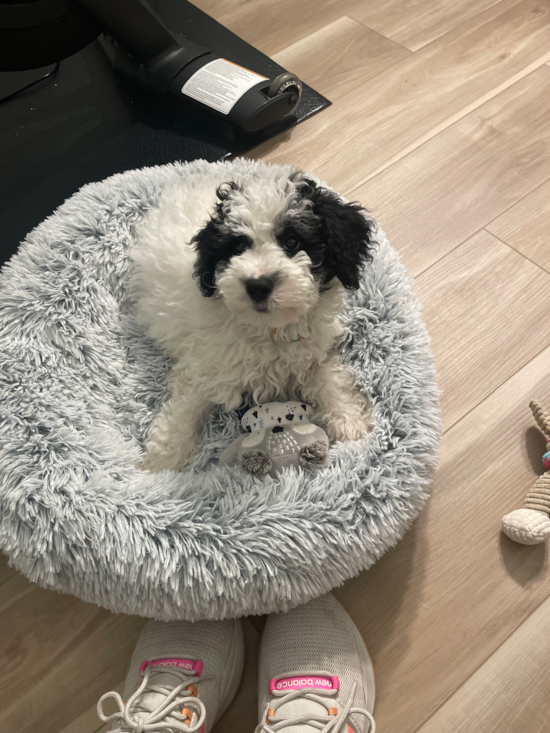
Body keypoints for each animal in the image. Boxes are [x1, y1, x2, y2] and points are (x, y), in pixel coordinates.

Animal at [132, 159, 378, 468]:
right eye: (238, 246)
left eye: (292, 242)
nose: (258, 285)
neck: (268, 329)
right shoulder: (204, 363)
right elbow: (187, 406)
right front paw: (163, 459)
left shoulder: (314, 352)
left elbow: (328, 379)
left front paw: (348, 420)